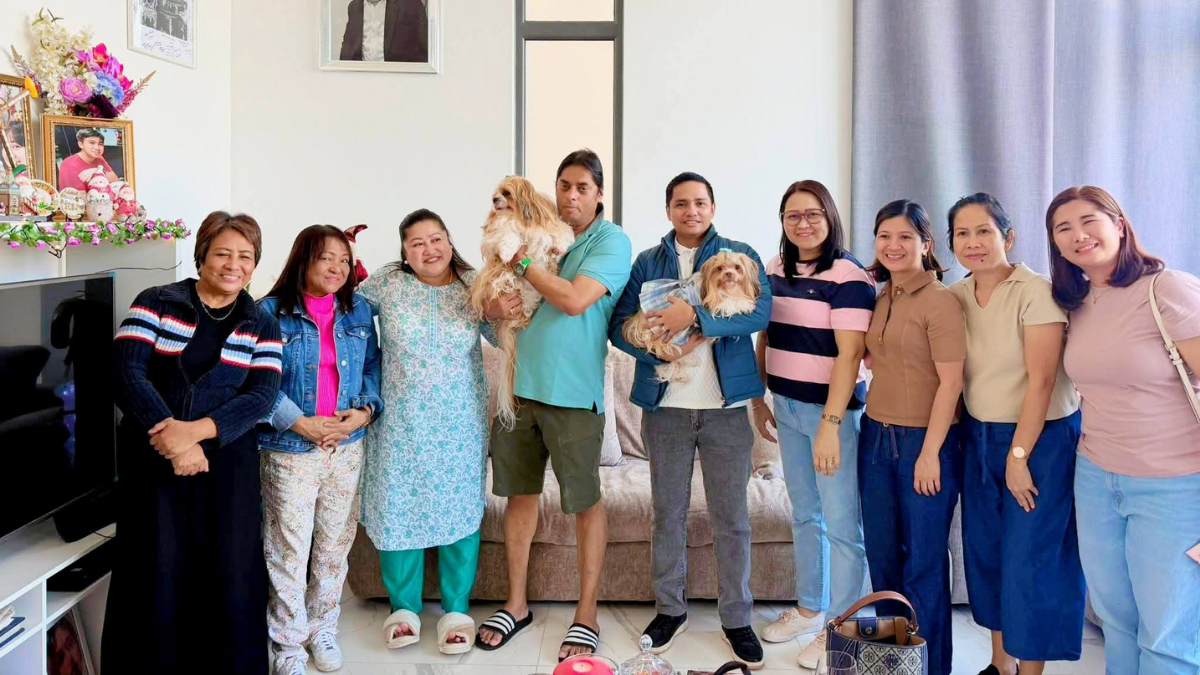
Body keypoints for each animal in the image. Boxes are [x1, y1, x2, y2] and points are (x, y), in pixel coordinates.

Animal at [468, 176, 575, 428]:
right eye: (494, 194)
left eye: (506, 193)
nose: (495, 200)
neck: (519, 218)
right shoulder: (501, 233)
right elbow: (508, 236)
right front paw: (509, 253)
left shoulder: (548, 227)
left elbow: (560, 235)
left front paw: (558, 248)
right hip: (494, 277)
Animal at [623, 249, 760, 383]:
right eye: (719, 268)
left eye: (737, 267)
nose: (729, 273)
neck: (723, 289)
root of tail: (637, 323)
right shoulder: (716, 304)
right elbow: (730, 303)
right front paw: (744, 303)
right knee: (667, 355)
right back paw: (688, 362)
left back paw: (681, 375)